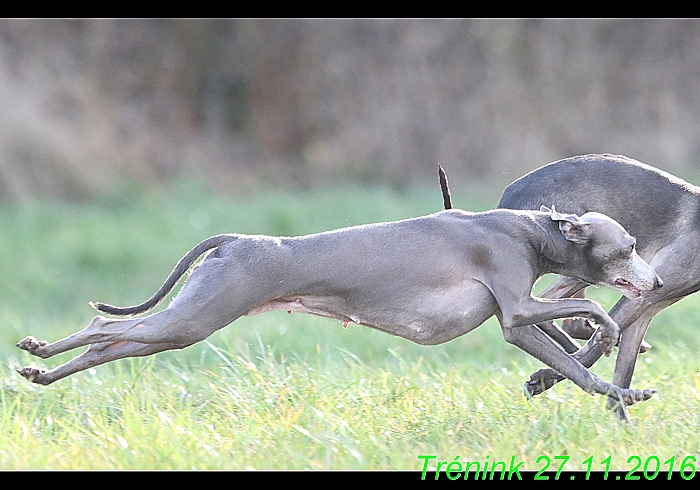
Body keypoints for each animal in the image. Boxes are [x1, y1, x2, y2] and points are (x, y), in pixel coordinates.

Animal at [17, 203, 660, 410]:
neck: (530, 230)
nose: (654, 281)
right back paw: (37, 351)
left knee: (114, 341)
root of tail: (234, 241)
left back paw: (40, 369)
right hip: (196, 316)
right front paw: (608, 333)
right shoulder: (518, 309)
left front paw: (623, 391)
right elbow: (593, 316)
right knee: (103, 326)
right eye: (628, 246)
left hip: (184, 325)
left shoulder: (516, 322)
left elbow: (573, 365)